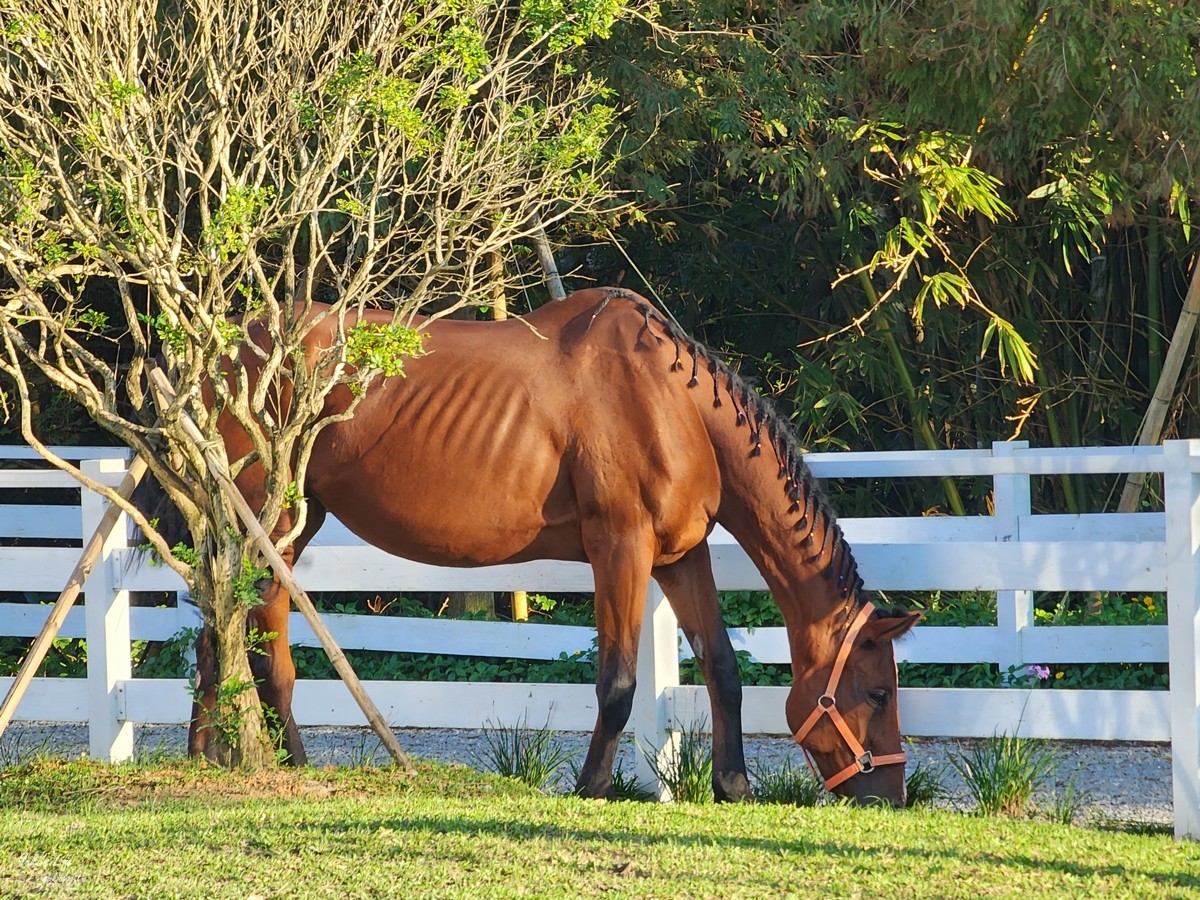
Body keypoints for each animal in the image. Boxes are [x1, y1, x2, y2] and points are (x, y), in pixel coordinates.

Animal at [182, 286, 912, 801]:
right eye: (877, 693)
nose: (890, 796)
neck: (672, 402)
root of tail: (228, 349)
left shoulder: (680, 558)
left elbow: (722, 668)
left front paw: (732, 787)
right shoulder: (621, 549)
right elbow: (618, 681)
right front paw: (593, 787)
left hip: (285, 522)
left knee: (236, 629)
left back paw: (230, 757)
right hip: (268, 518)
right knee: (242, 636)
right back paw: (252, 759)